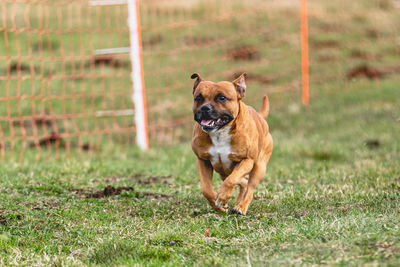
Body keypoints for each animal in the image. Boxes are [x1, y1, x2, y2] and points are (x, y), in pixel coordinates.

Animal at [190, 73, 272, 216]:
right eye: (199, 98)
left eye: (222, 97)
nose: (205, 108)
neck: (220, 132)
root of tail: (260, 116)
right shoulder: (202, 160)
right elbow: (206, 189)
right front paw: (219, 206)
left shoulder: (247, 160)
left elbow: (231, 180)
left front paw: (222, 197)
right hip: (223, 171)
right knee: (243, 182)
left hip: (259, 167)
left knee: (249, 187)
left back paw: (241, 207)